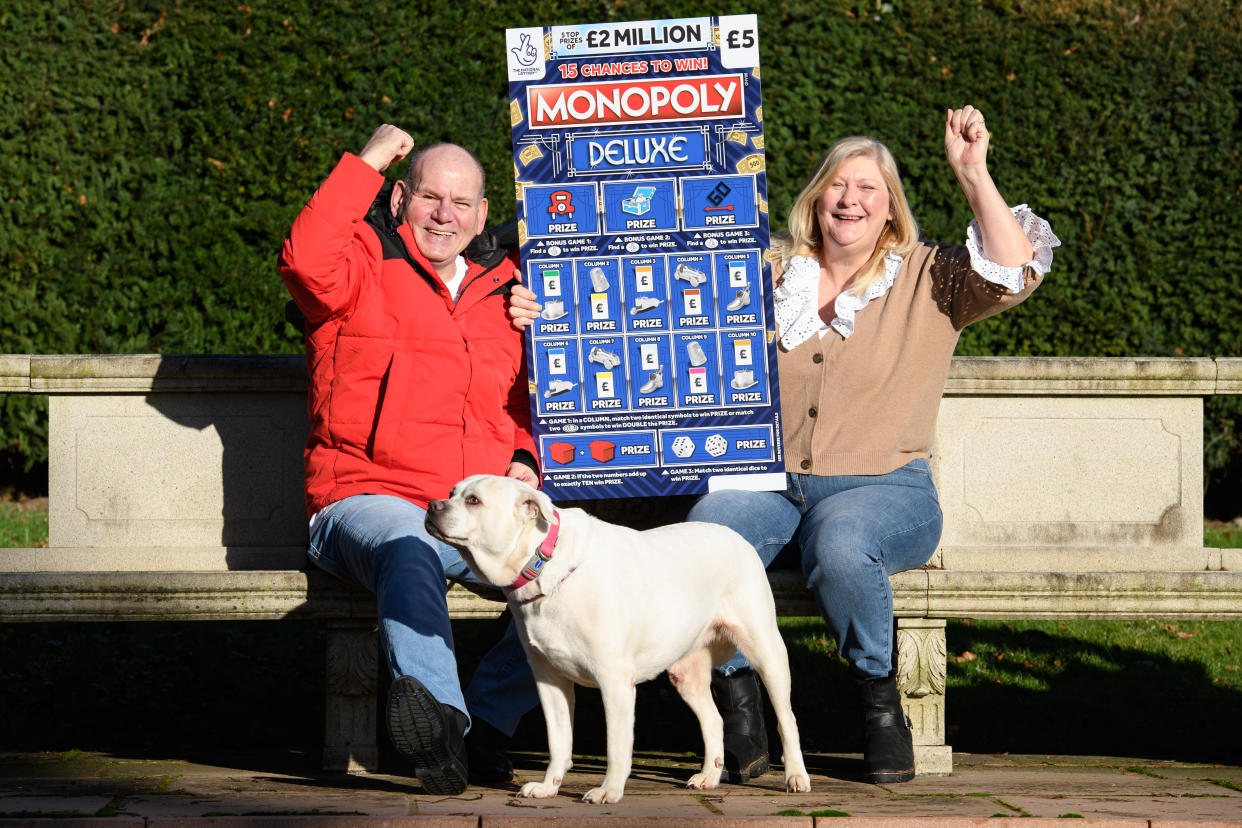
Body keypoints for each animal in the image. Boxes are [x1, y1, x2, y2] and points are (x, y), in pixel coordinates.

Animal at [427, 476, 814, 804]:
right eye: (452, 492)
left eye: (474, 501)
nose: (432, 504)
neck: (542, 564)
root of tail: (735, 536)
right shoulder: (549, 679)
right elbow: (559, 741)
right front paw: (549, 786)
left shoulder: (613, 680)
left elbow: (616, 745)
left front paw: (608, 791)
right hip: (685, 671)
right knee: (713, 720)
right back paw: (708, 777)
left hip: (766, 650)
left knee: (787, 719)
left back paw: (796, 777)